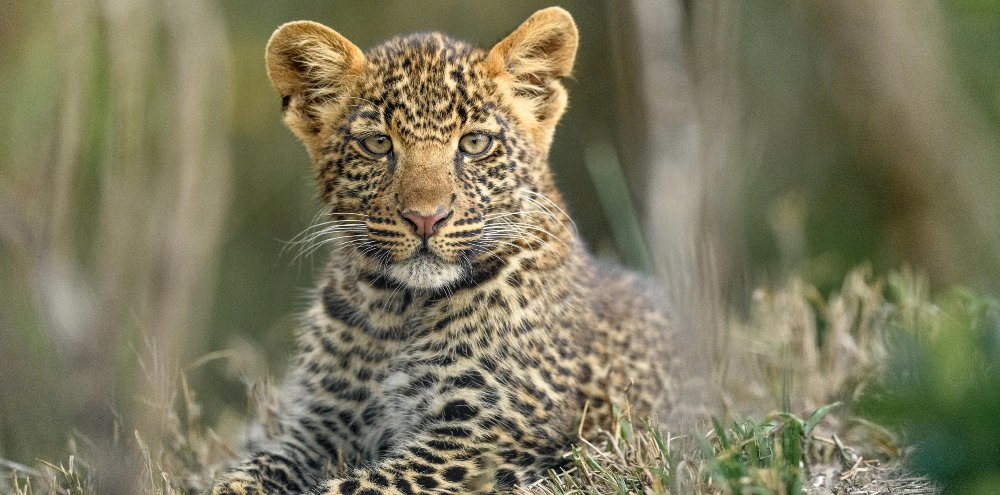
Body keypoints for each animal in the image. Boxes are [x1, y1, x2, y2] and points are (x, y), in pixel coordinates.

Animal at [210, 7, 672, 495]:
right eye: (377, 144)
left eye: (475, 144)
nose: (426, 218)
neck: (399, 311)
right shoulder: (322, 425)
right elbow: (254, 470)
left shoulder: (490, 433)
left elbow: (365, 485)